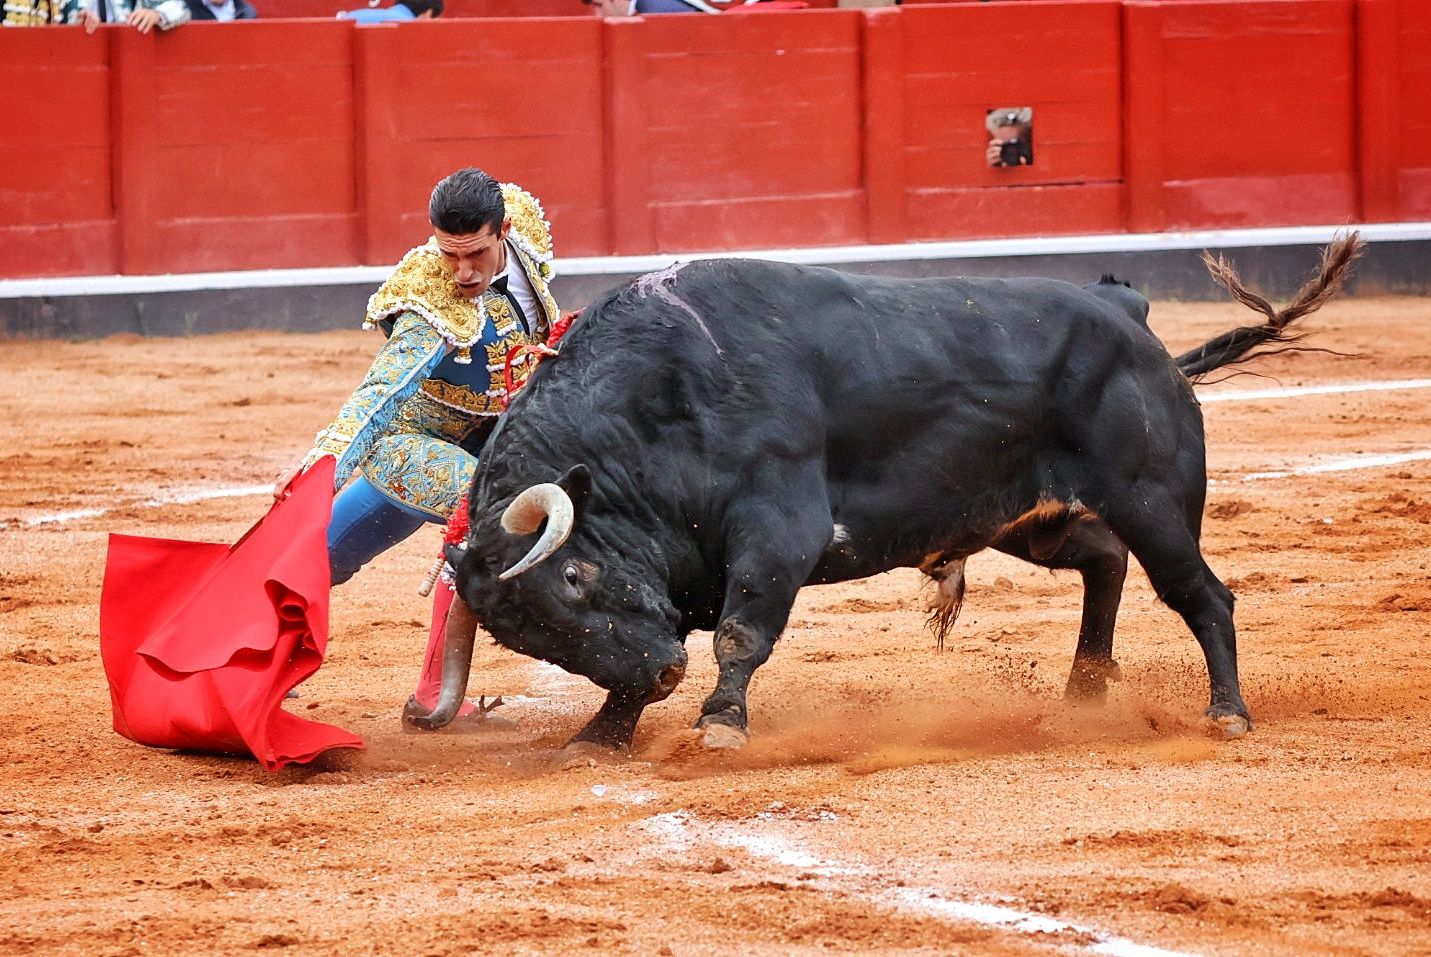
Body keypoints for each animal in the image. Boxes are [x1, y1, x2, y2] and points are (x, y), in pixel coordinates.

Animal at [409, 234, 1356, 749]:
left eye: (574, 576)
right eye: (530, 639)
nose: (663, 670)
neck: (654, 404)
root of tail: (1127, 315)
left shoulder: (778, 526)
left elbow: (743, 630)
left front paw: (719, 722)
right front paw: (601, 734)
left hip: (1152, 498)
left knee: (1200, 593)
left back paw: (1225, 713)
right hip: (1023, 516)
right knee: (1103, 563)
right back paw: (1083, 691)